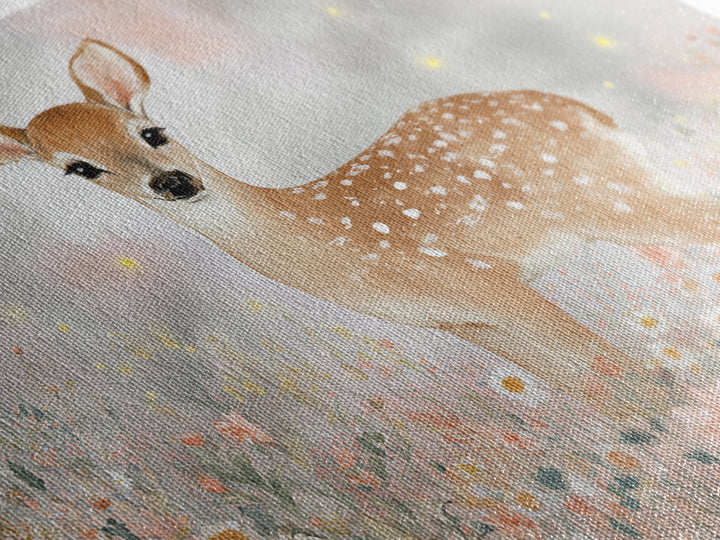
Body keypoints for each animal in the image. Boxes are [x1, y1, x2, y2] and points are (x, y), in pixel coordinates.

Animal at [1, 39, 715, 424]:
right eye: (80, 170)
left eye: (152, 130)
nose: (175, 182)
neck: (337, 250)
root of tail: (582, 105)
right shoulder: (463, 317)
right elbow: (614, 387)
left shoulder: (483, 276)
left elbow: (626, 375)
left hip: (602, 194)